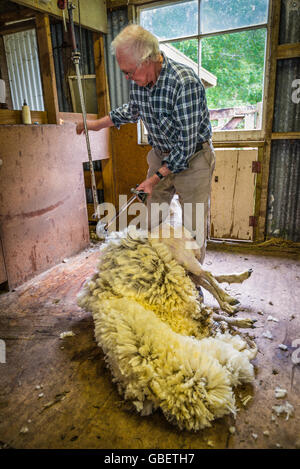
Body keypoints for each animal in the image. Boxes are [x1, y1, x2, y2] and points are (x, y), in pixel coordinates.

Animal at [78, 225, 258, 430]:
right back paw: (232, 301)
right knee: (207, 279)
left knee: (208, 275)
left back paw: (231, 297)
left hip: (185, 261)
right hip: (185, 268)